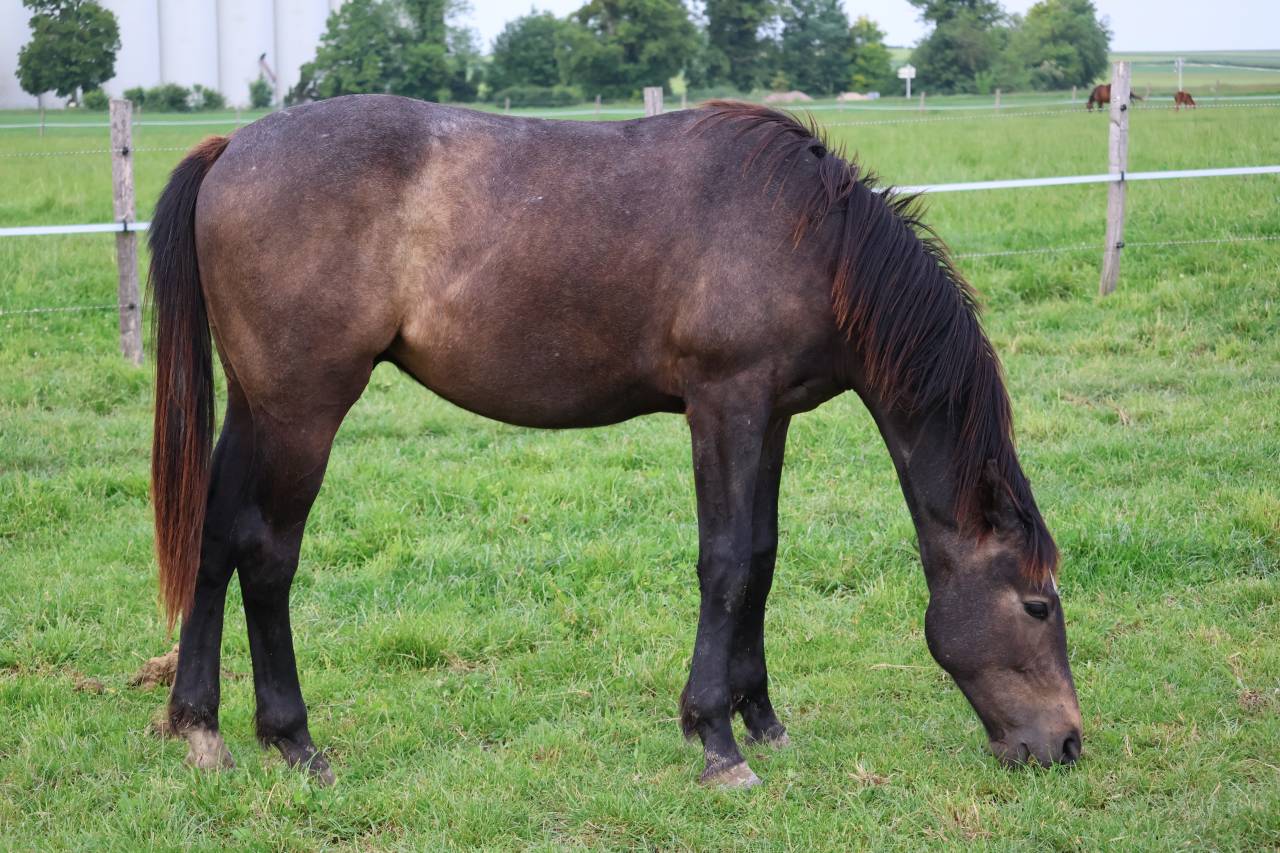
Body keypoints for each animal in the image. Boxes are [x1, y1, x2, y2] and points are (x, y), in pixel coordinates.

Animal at [148, 96, 1082, 788]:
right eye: (1037, 606)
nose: (1068, 743)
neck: (809, 237)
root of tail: (232, 148)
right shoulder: (724, 404)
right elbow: (727, 562)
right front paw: (716, 741)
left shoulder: (771, 412)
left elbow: (764, 556)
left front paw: (762, 719)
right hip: (303, 410)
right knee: (268, 554)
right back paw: (293, 739)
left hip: (256, 407)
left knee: (215, 539)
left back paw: (200, 729)